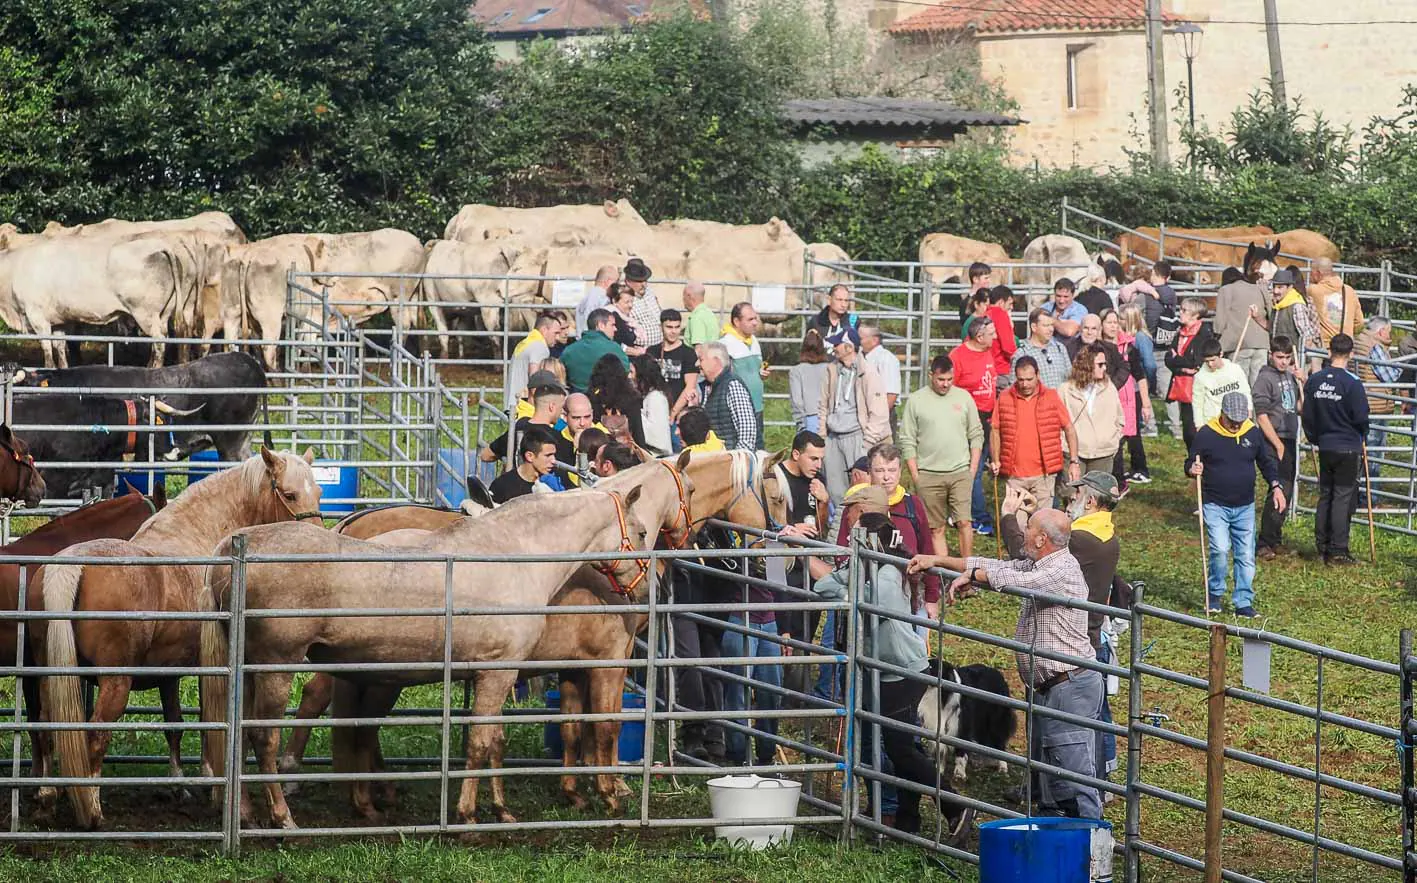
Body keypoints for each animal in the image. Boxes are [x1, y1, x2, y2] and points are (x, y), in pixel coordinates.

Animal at [33, 447, 324, 827]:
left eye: (319, 492)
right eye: (289, 494)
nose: (317, 545)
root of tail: (73, 562)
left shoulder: (168, 671)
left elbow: (175, 723)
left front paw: (181, 784)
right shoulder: (210, 665)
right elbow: (209, 720)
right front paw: (212, 782)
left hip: (49, 676)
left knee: (46, 730)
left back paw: (47, 796)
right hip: (115, 683)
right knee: (96, 737)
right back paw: (93, 810)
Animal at [196, 479, 660, 833]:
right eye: (639, 533)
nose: (643, 591)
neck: (515, 555)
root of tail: (230, 553)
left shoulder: (494, 675)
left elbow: (494, 740)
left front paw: (501, 810)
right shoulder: (499, 672)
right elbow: (481, 742)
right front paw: (468, 815)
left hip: (251, 671)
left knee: (240, 733)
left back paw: (246, 813)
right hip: (276, 667)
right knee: (264, 738)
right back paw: (283, 817)